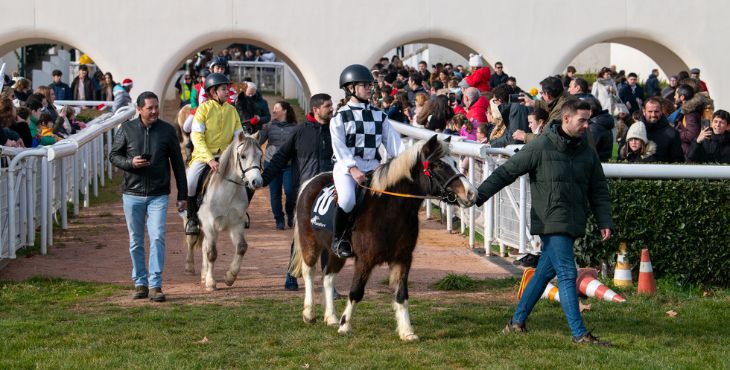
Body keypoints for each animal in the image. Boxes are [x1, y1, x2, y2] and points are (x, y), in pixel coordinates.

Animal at [183, 132, 264, 290]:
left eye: (260, 155)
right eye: (243, 156)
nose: (256, 182)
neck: (227, 192)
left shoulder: (236, 224)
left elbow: (241, 247)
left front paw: (230, 277)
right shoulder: (210, 225)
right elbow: (212, 253)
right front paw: (211, 282)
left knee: (204, 246)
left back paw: (203, 274)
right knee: (192, 240)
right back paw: (190, 266)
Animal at [288, 134, 480, 340]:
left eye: (454, 162)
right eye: (437, 165)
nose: (471, 193)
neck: (389, 210)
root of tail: (311, 182)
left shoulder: (403, 258)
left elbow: (401, 294)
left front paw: (407, 331)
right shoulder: (365, 259)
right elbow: (356, 291)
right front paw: (345, 325)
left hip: (334, 252)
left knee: (328, 278)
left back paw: (330, 317)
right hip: (310, 242)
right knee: (309, 272)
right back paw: (309, 314)